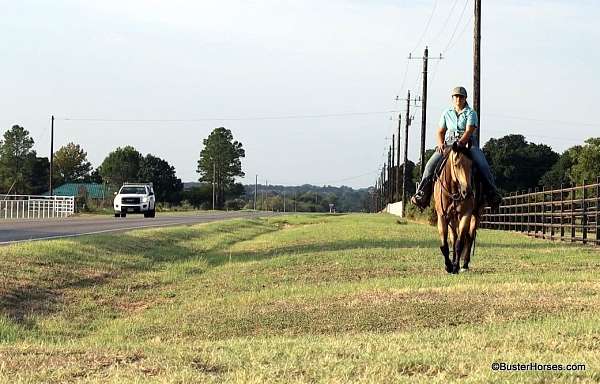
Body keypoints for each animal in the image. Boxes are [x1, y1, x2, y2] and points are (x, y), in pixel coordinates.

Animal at [434, 142, 480, 274]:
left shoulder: (466, 214)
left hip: (475, 215)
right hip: (452, 219)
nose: (467, 192)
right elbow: (445, 244)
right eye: (456, 164)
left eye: (471, 165)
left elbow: (460, 243)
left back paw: (464, 265)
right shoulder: (442, 216)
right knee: (454, 238)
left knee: (469, 238)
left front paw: (455, 267)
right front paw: (448, 266)